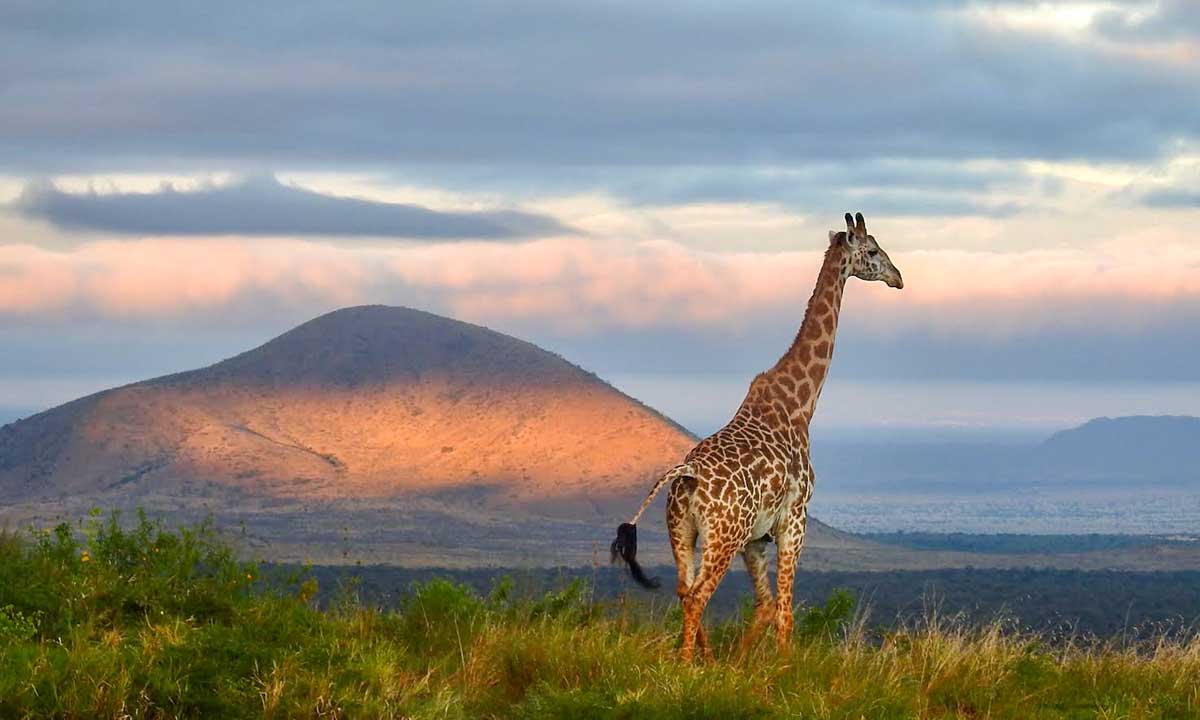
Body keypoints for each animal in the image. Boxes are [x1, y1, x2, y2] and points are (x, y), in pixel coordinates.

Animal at [611, 212, 903, 660]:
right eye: (872, 250)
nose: (898, 277)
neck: (800, 404)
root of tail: (686, 474)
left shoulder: (756, 538)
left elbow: (765, 606)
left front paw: (741, 663)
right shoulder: (794, 519)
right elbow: (784, 610)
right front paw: (784, 668)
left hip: (682, 532)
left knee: (683, 590)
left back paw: (705, 659)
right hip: (723, 535)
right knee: (698, 597)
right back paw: (686, 665)